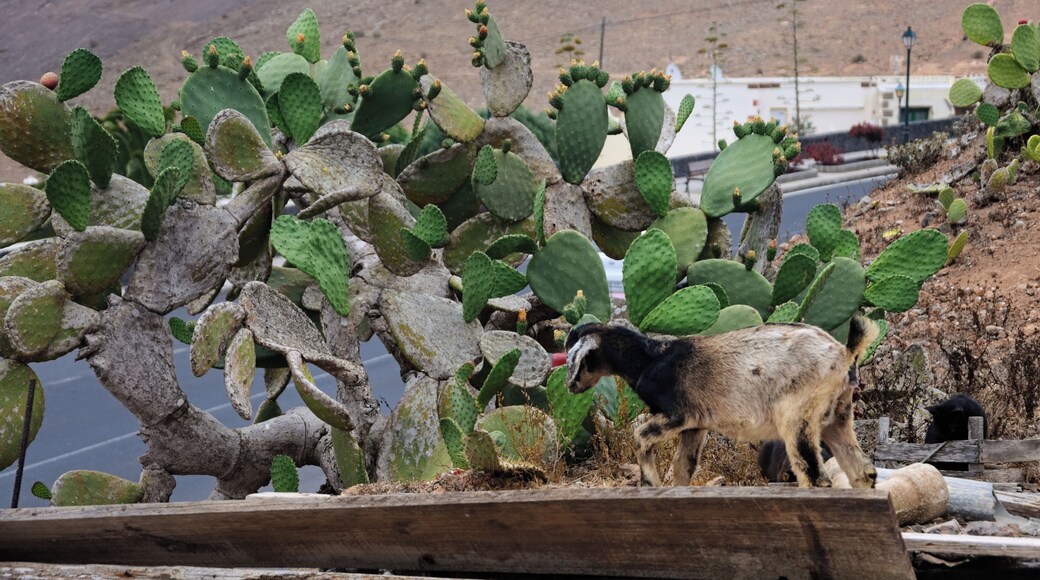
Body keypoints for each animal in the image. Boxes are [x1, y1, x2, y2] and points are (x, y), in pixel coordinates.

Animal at [564, 317, 879, 488]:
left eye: (576, 359)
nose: (569, 386)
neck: (650, 360)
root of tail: (844, 353)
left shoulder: (678, 414)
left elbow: (640, 436)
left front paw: (650, 483)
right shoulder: (695, 426)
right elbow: (683, 465)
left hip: (797, 416)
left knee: (813, 474)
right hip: (837, 416)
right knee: (862, 471)